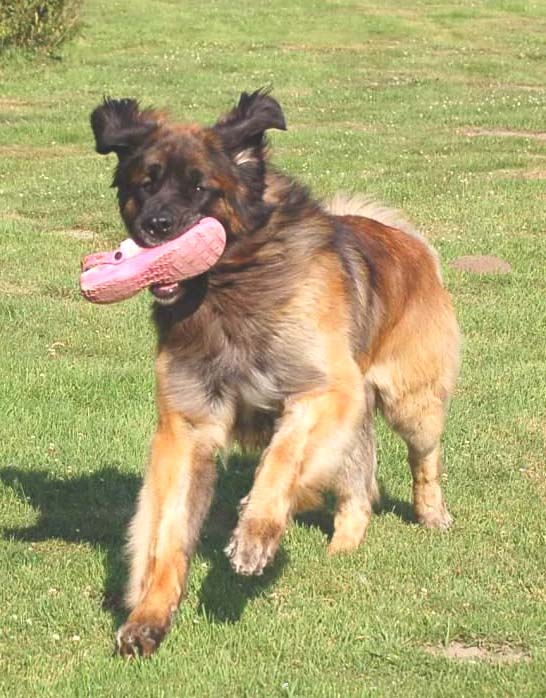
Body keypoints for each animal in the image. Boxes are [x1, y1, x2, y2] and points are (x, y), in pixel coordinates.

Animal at [90, 90, 460, 657]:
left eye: (199, 188)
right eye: (144, 184)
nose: (156, 227)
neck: (229, 290)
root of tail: (408, 241)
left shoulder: (323, 389)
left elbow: (284, 458)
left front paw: (256, 531)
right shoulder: (186, 428)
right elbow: (166, 534)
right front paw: (149, 617)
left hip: (411, 402)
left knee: (423, 458)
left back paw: (430, 513)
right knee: (357, 488)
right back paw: (342, 545)